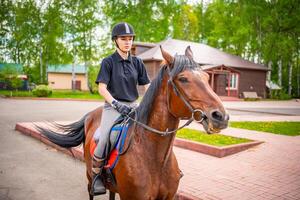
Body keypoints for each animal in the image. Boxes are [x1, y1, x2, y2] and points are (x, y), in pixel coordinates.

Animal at [38, 46, 229, 199]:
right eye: (183, 79)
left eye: (207, 77)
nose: (220, 116)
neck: (154, 157)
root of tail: (90, 115)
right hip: (90, 176)